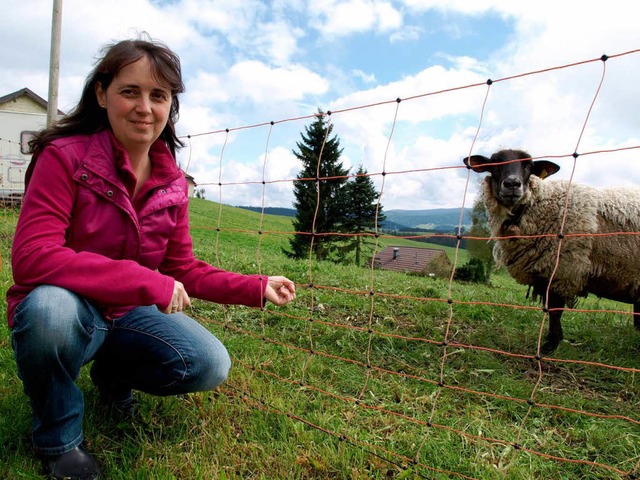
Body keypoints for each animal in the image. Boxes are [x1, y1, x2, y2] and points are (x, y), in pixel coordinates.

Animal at [462, 148, 640, 354]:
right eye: (494, 164)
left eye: (529, 165)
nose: (512, 184)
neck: (539, 205)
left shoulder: (561, 270)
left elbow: (554, 310)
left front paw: (550, 345)